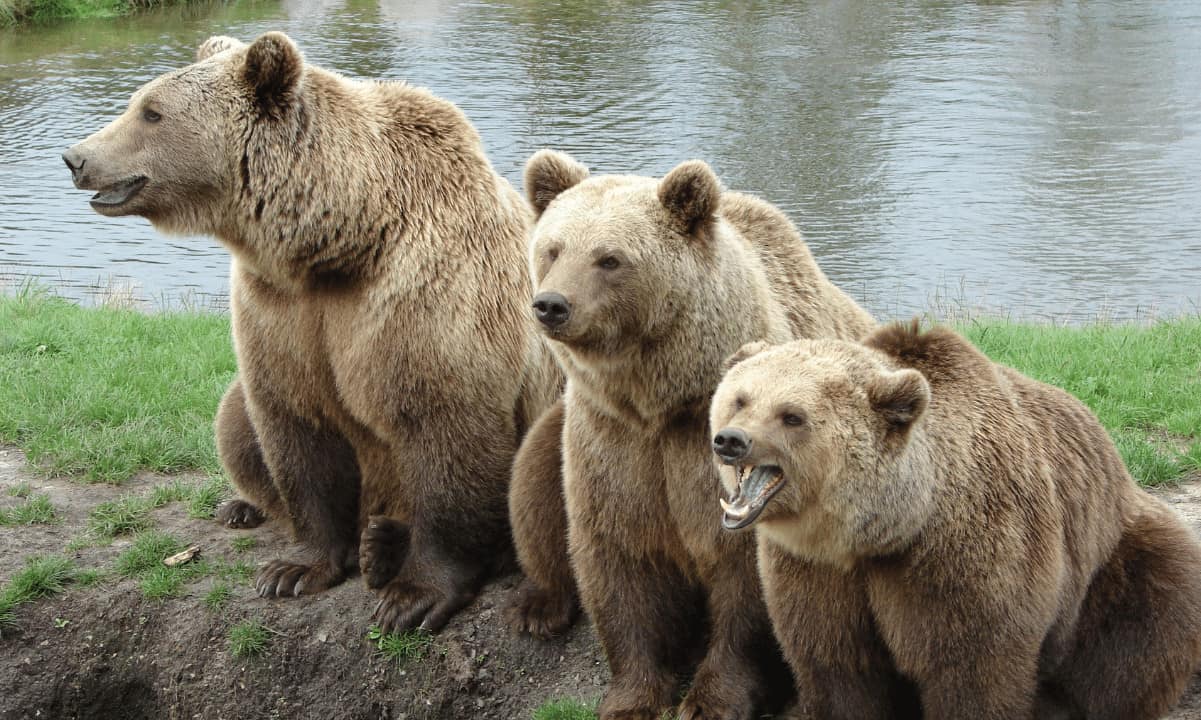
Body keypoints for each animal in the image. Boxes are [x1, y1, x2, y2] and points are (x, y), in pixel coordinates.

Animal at [63, 32, 561, 632]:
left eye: (151, 112)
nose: (76, 157)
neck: (340, 243)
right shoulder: (281, 310)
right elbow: (295, 426)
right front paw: (294, 569)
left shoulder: (427, 298)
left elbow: (444, 428)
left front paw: (413, 596)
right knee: (234, 420)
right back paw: (255, 509)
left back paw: (386, 544)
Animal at [510, 149, 875, 719]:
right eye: (552, 248)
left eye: (609, 259)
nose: (551, 304)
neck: (660, 402)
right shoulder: (614, 440)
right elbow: (619, 558)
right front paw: (633, 697)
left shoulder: (709, 454)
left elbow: (745, 579)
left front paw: (712, 698)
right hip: (557, 424)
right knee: (532, 481)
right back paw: (538, 605)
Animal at [708, 322, 1201, 720]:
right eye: (740, 399)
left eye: (792, 415)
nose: (731, 440)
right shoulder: (817, 571)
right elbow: (837, 663)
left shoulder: (967, 550)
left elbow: (974, 665)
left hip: (1113, 557)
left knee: (1142, 632)